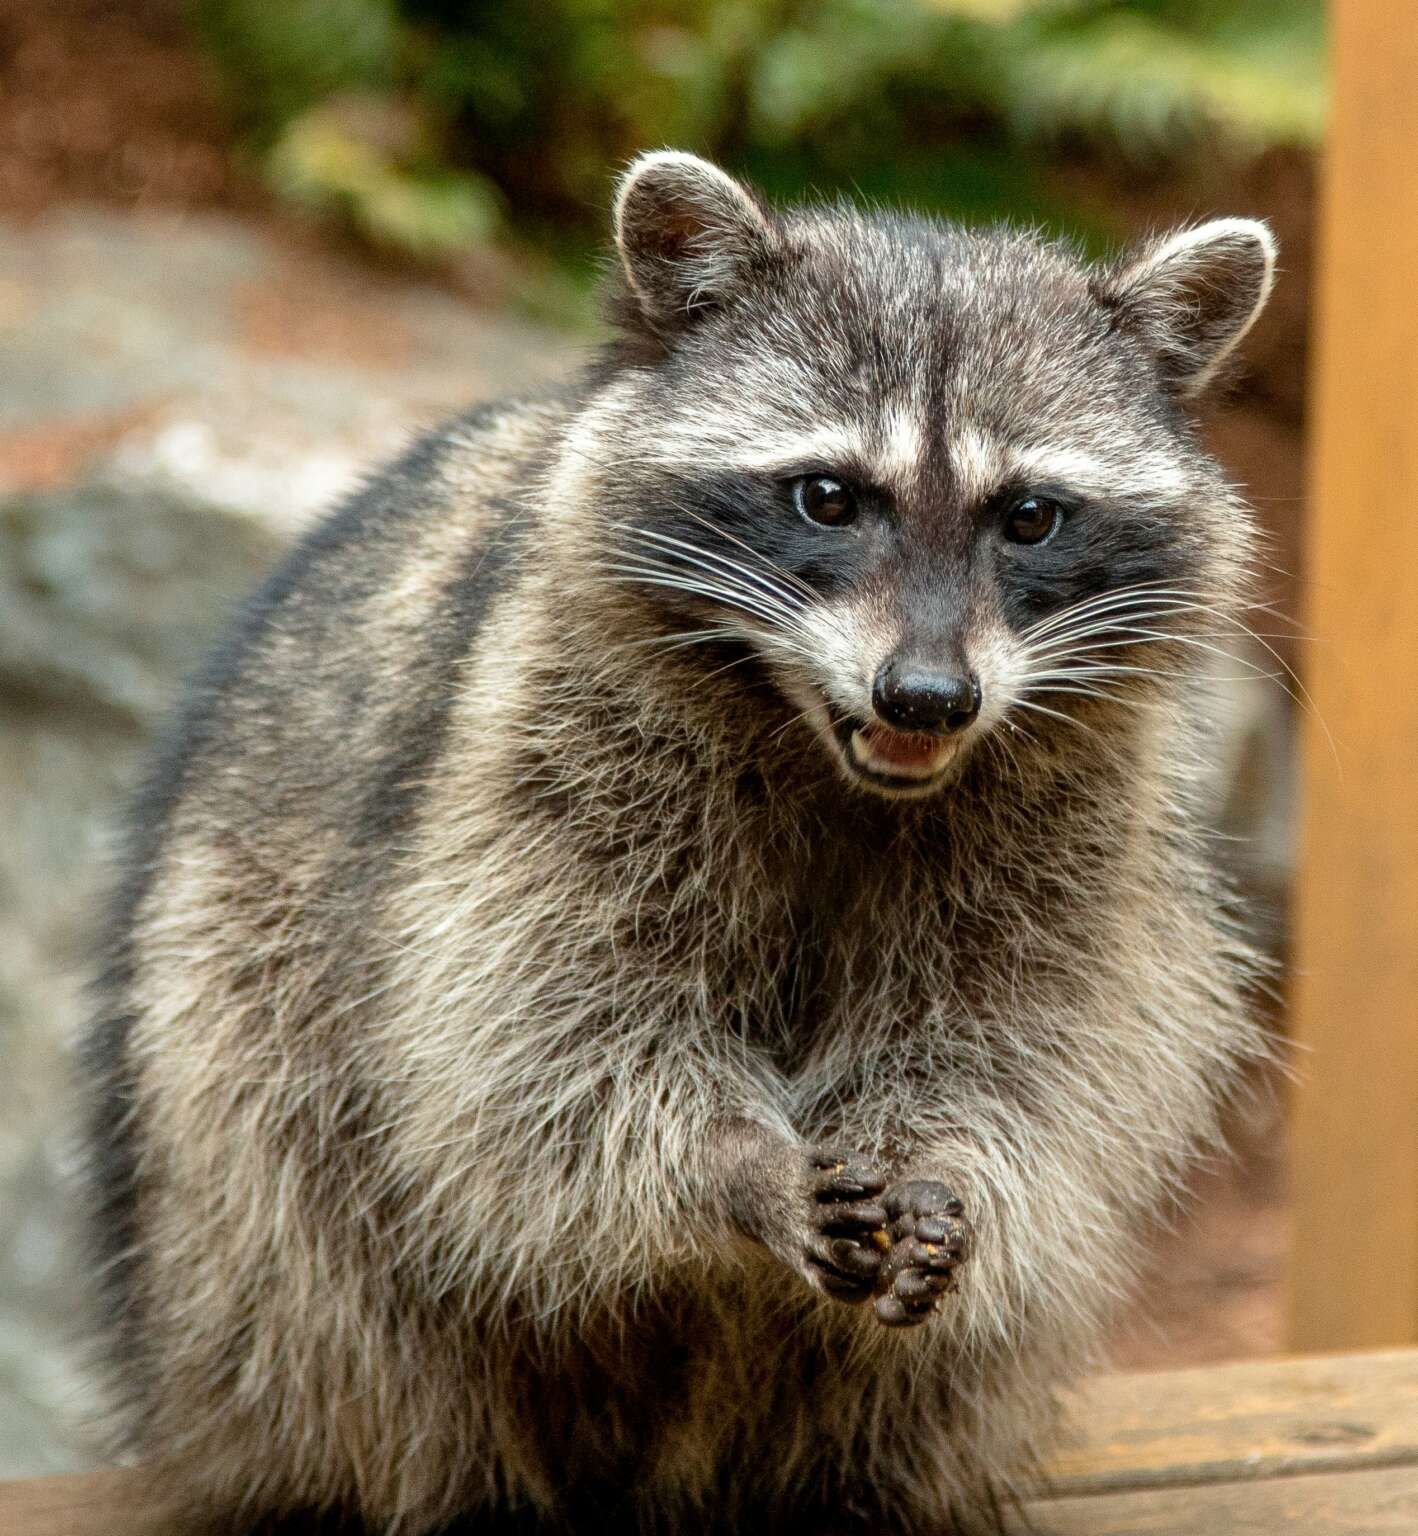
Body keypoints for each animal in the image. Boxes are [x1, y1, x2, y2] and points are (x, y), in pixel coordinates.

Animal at [81, 151, 1276, 1534]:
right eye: (827, 496)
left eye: (1028, 517)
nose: (928, 697)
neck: (837, 757)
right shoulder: (534, 760)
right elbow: (548, 1042)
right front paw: (733, 1166)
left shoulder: (1071, 824)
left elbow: (1014, 1043)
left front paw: (940, 1164)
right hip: (221, 1109)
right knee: (320, 1277)